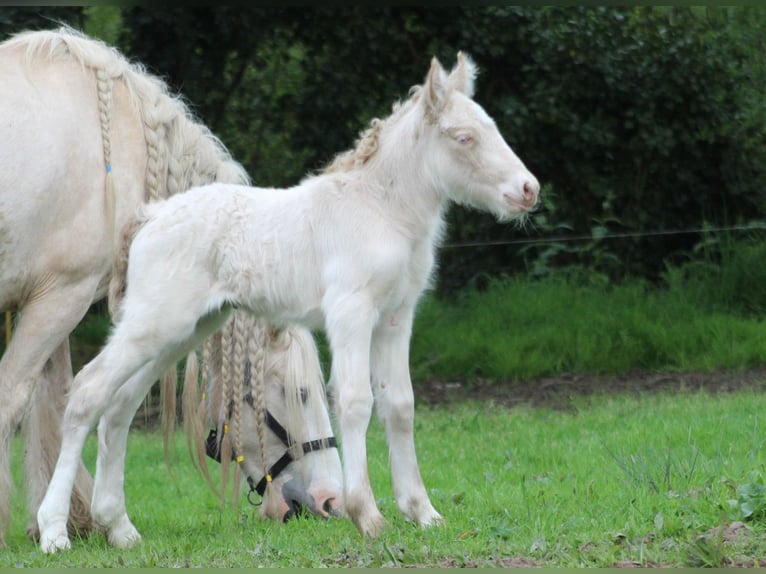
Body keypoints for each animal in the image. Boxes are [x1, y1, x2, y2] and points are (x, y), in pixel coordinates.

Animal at [0, 28, 342, 548]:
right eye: (298, 392)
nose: (328, 501)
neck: (116, 141)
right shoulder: (60, 296)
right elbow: (17, 400)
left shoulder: (53, 298)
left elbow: (59, 404)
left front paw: (83, 518)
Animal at [36, 53, 540, 552]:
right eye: (464, 137)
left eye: (492, 126)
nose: (528, 190)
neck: (381, 210)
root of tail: (149, 217)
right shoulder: (351, 312)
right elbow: (356, 400)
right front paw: (367, 516)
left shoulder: (396, 317)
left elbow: (400, 404)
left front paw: (423, 513)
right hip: (154, 324)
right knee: (87, 392)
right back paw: (54, 531)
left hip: (180, 332)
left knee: (119, 405)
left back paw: (119, 527)